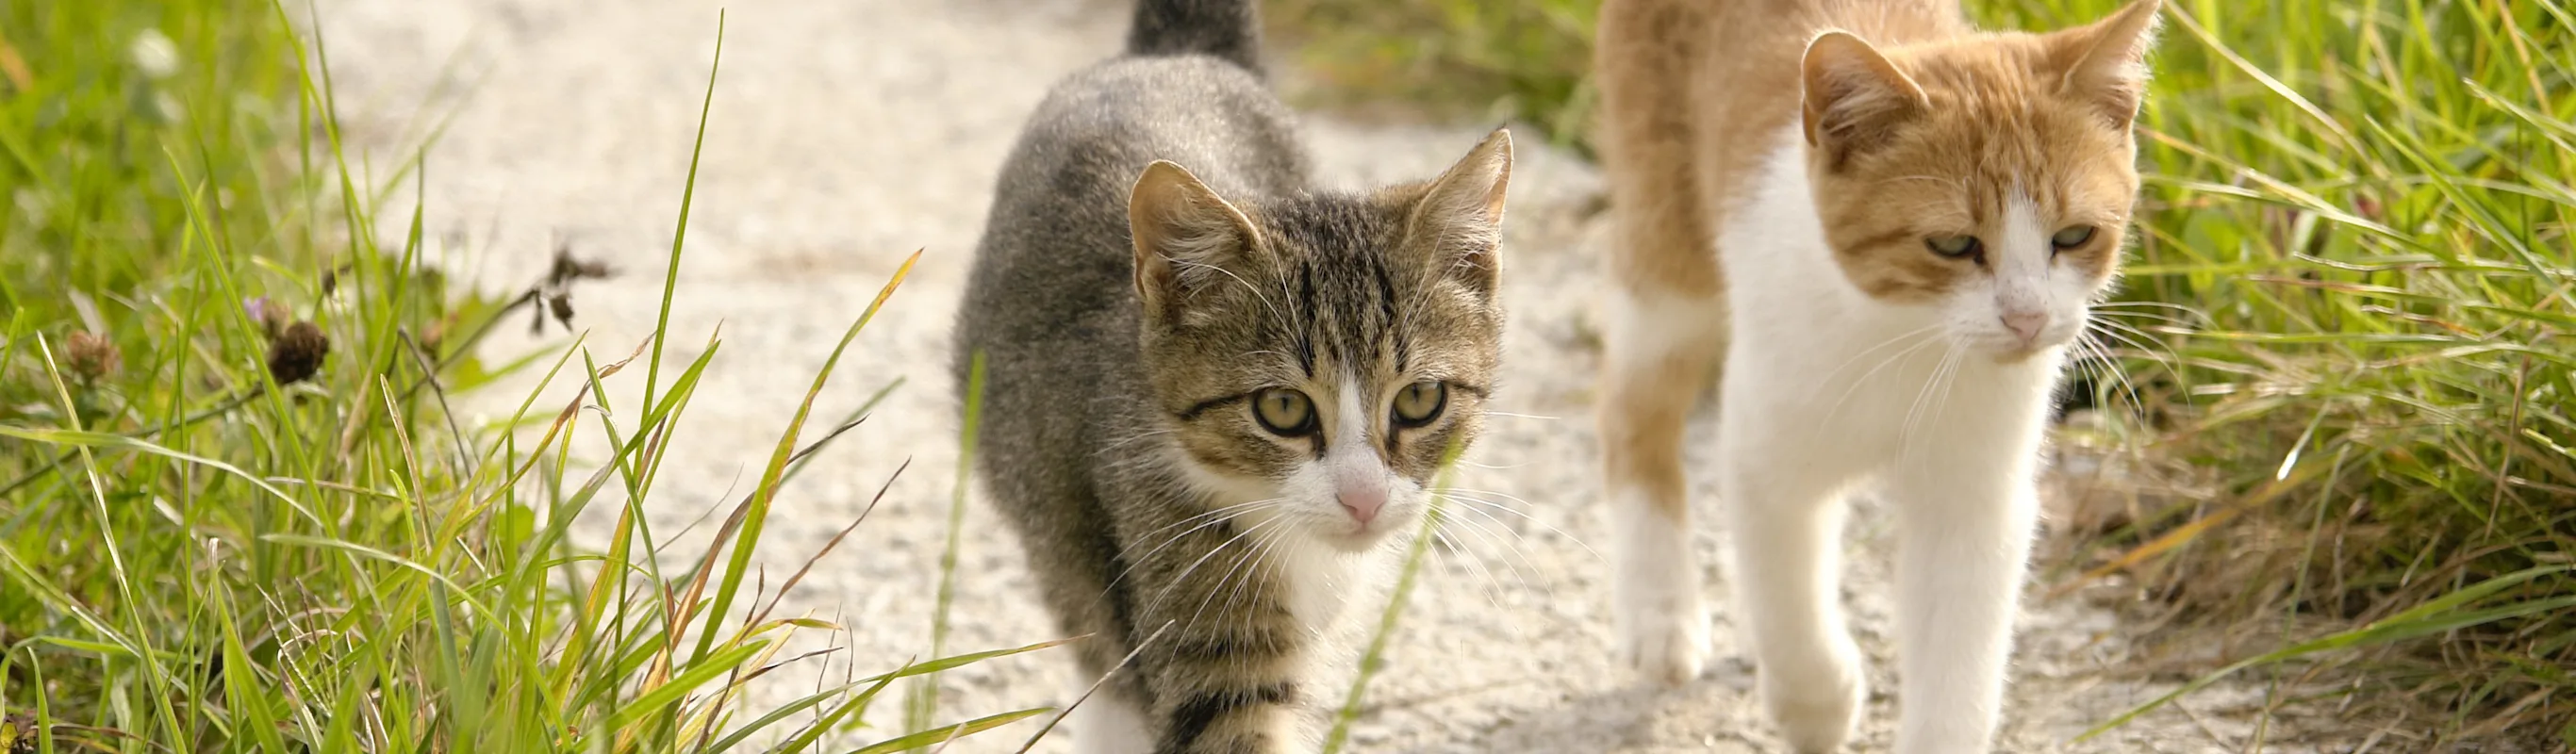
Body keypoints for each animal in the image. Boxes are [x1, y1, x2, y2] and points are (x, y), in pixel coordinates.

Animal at [1586, 0, 2153, 746]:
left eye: (2074, 236)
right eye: (1953, 244)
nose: (2027, 317)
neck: (1907, 343)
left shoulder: (1976, 500)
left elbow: (1957, 667)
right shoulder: (1767, 463)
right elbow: (1787, 600)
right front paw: (1816, 705)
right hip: (1667, 257)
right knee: (1631, 409)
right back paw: (1659, 613)